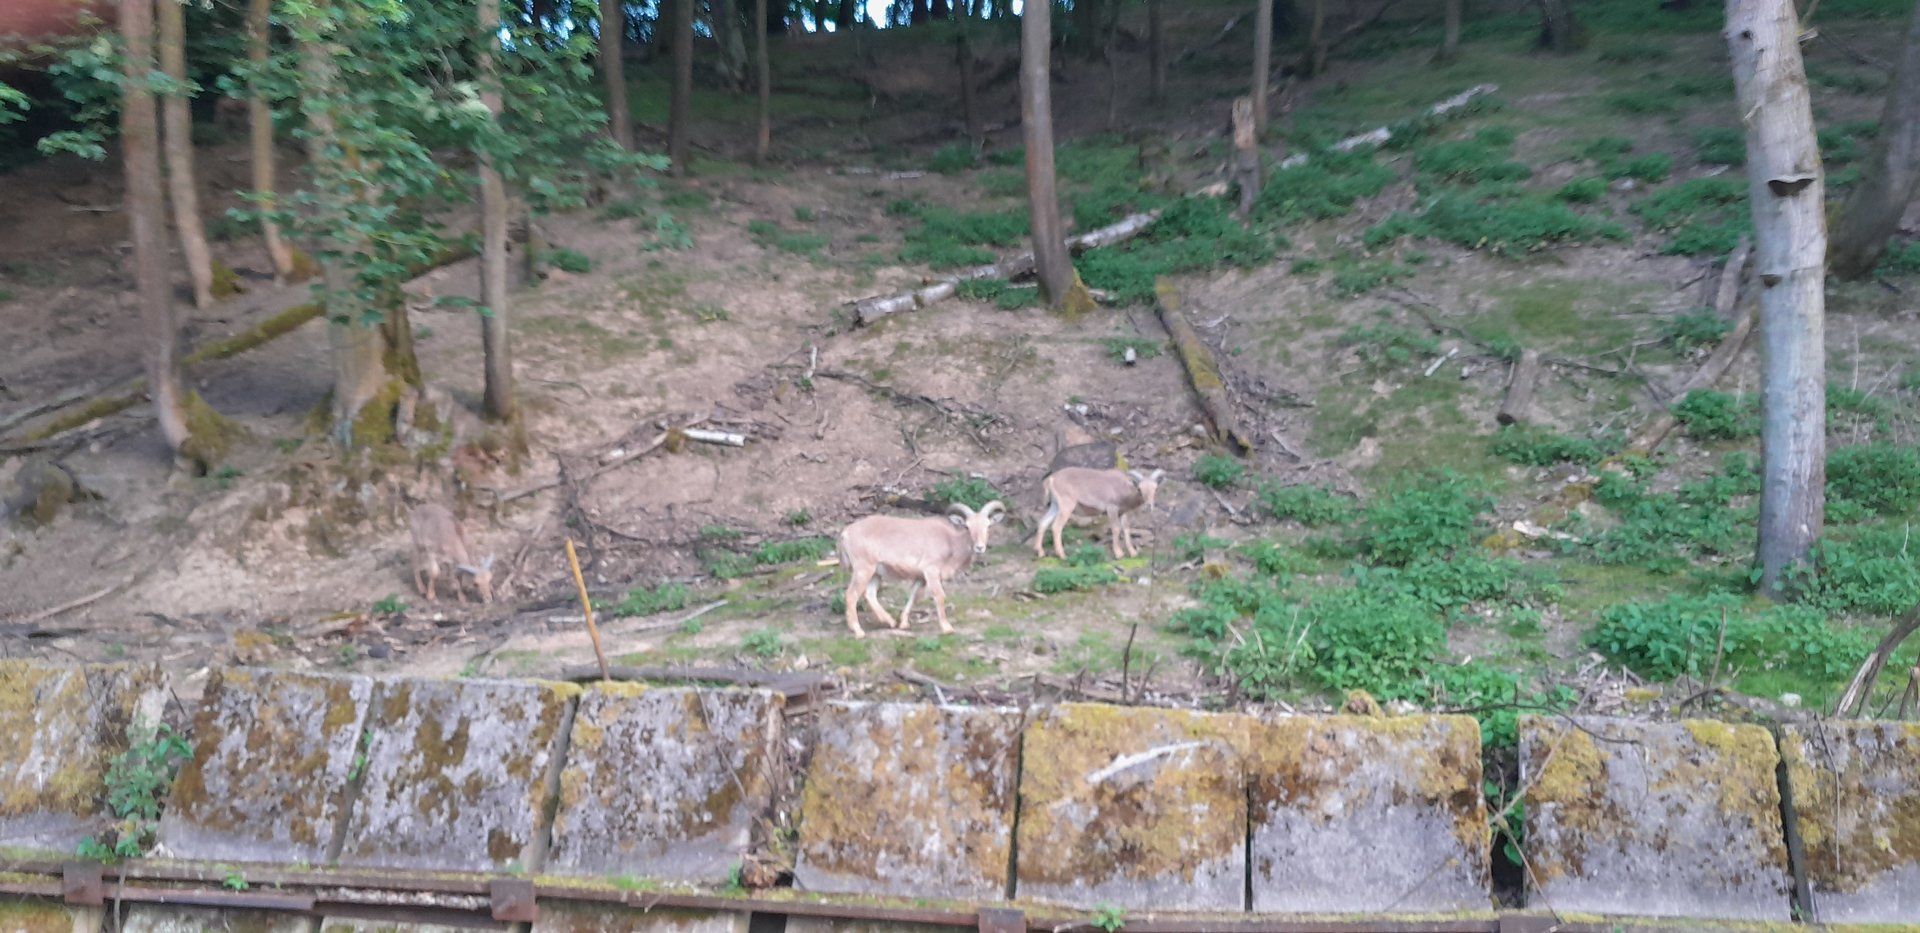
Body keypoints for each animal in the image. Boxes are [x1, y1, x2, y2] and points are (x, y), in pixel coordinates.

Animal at [836, 500, 1006, 639]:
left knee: (870, 594)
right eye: (967, 526)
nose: (979, 547)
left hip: (876, 573)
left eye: (988, 526)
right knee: (851, 595)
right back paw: (858, 631)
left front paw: (904, 623)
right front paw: (947, 628)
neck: (950, 542)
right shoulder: (931, 571)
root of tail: (846, 533)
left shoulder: (921, 577)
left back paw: (890, 621)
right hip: (864, 569)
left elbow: (914, 596)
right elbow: (939, 595)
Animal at [1033, 467, 1165, 560]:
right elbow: (1116, 529)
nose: (1148, 506)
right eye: (1139, 489)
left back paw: (1040, 552)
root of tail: (1051, 479)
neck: (1123, 490)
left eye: (1156, 488)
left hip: (1055, 506)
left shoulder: (1122, 512)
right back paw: (1062, 555)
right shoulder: (1112, 509)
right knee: (1056, 527)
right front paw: (1119, 554)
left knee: (1043, 523)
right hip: (1066, 506)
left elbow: (1126, 529)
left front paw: (1133, 553)